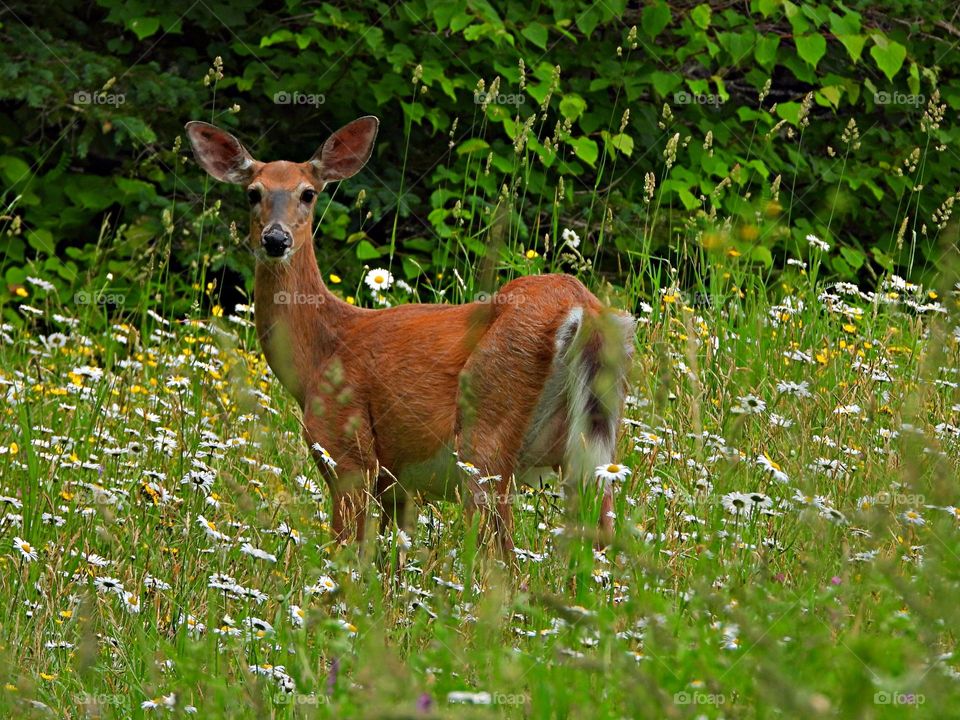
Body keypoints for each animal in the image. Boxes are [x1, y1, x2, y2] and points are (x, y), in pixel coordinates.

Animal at [186, 115, 636, 552]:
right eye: (253, 192)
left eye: (308, 193)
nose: (276, 239)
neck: (319, 353)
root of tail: (582, 306)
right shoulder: (396, 479)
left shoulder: (346, 450)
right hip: (590, 446)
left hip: (486, 433)